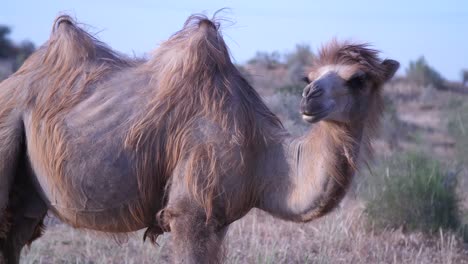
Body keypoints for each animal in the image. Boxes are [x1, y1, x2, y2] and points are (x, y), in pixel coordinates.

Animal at [0, 14, 398, 264]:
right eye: (309, 77)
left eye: (359, 78)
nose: (309, 97)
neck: (264, 155)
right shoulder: (190, 212)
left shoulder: (217, 220)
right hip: (7, 133)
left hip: (28, 186)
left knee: (14, 233)